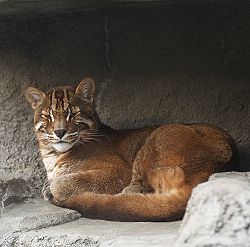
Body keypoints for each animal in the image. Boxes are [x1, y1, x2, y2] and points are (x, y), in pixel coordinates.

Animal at [24, 78, 238, 221]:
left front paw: (51, 189)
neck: (52, 154)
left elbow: (60, 183)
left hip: (156, 137)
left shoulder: (116, 172)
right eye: (47, 116)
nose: (60, 132)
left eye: (73, 114)